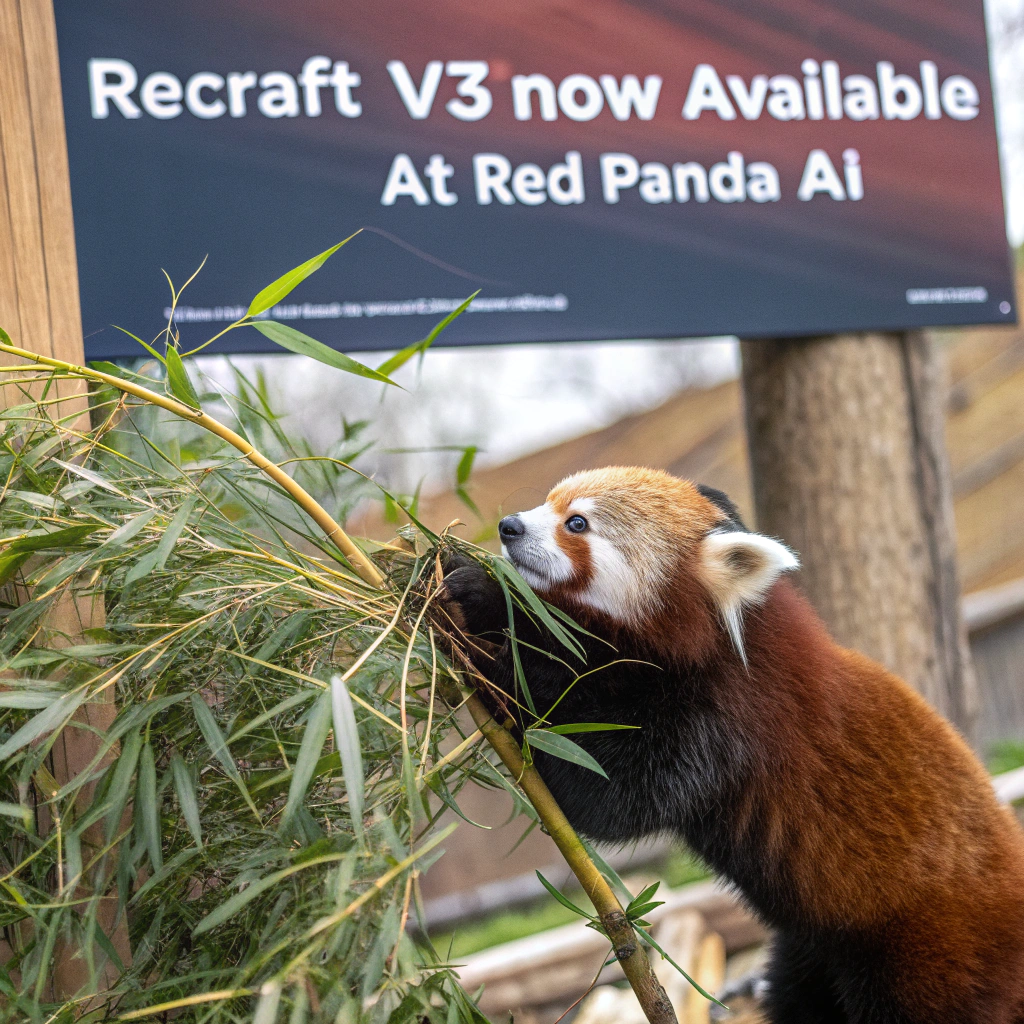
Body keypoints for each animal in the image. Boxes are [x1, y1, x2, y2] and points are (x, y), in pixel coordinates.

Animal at [440, 466, 1024, 1024]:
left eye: (577, 523)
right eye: (550, 501)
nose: (509, 526)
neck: (725, 637)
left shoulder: (729, 723)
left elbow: (606, 800)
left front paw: (487, 638)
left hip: (923, 955)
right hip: (811, 950)